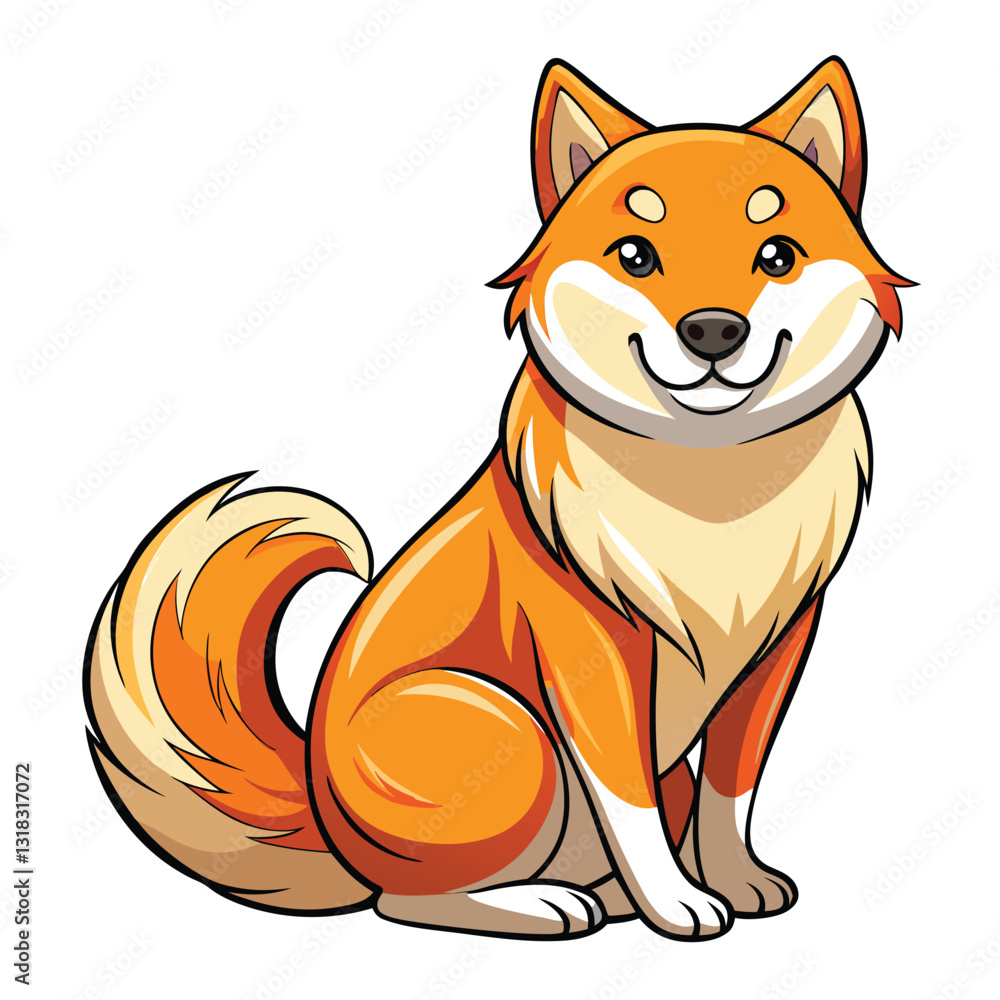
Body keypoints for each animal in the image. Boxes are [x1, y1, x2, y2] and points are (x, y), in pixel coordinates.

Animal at [85, 56, 911, 941]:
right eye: (636, 255)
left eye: (778, 255)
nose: (713, 331)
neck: (709, 495)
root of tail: (322, 813)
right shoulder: (593, 656)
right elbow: (631, 804)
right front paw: (679, 903)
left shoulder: (780, 647)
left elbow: (732, 789)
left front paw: (733, 879)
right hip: (511, 731)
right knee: (406, 901)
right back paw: (548, 904)